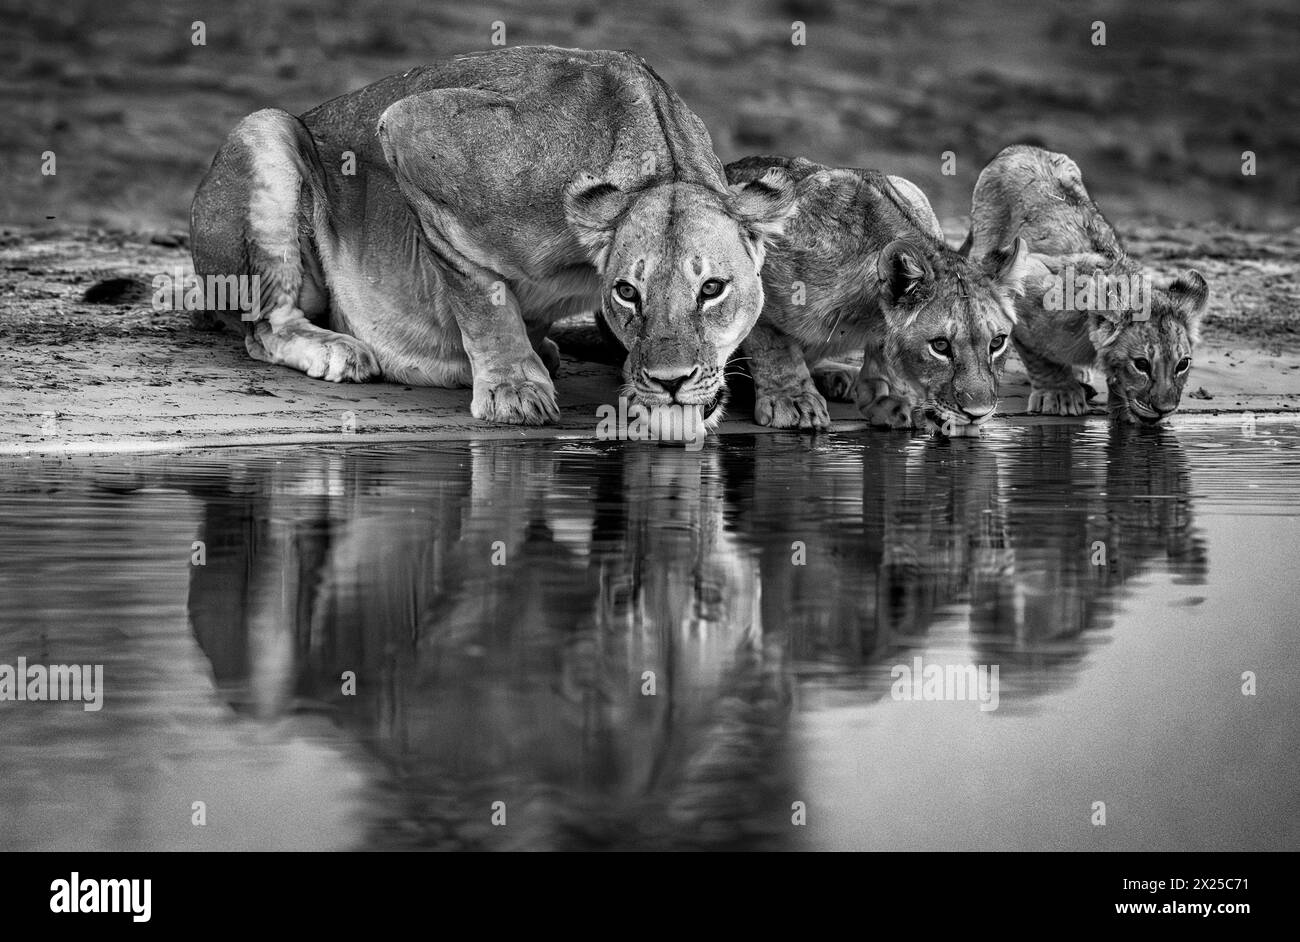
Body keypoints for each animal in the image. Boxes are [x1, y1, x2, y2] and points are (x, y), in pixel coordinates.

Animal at [190, 47, 794, 426]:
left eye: (712, 289)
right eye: (628, 292)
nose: (670, 381)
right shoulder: (412, 127)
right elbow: (482, 292)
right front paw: (513, 390)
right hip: (268, 128)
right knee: (264, 328)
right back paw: (339, 350)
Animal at [724, 156, 1030, 435]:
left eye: (997, 343)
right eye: (940, 346)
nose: (978, 413)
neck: (863, 313)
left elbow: (885, 352)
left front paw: (889, 399)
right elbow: (774, 347)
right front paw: (793, 400)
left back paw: (839, 377)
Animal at [963, 145, 1209, 424]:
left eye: (1183, 364)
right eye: (1142, 364)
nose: (1164, 409)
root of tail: (1020, 147)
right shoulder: (1028, 281)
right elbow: (1042, 360)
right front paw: (1061, 396)